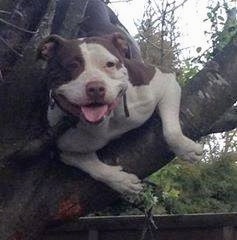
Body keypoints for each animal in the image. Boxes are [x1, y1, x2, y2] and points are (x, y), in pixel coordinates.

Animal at [38, 33, 203, 195]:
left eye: (110, 64)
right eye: (72, 65)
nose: (96, 88)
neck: (107, 120)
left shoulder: (164, 82)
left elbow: (172, 132)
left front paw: (187, 150)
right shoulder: (65, 149)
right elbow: (94, 168)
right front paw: (123, 182)